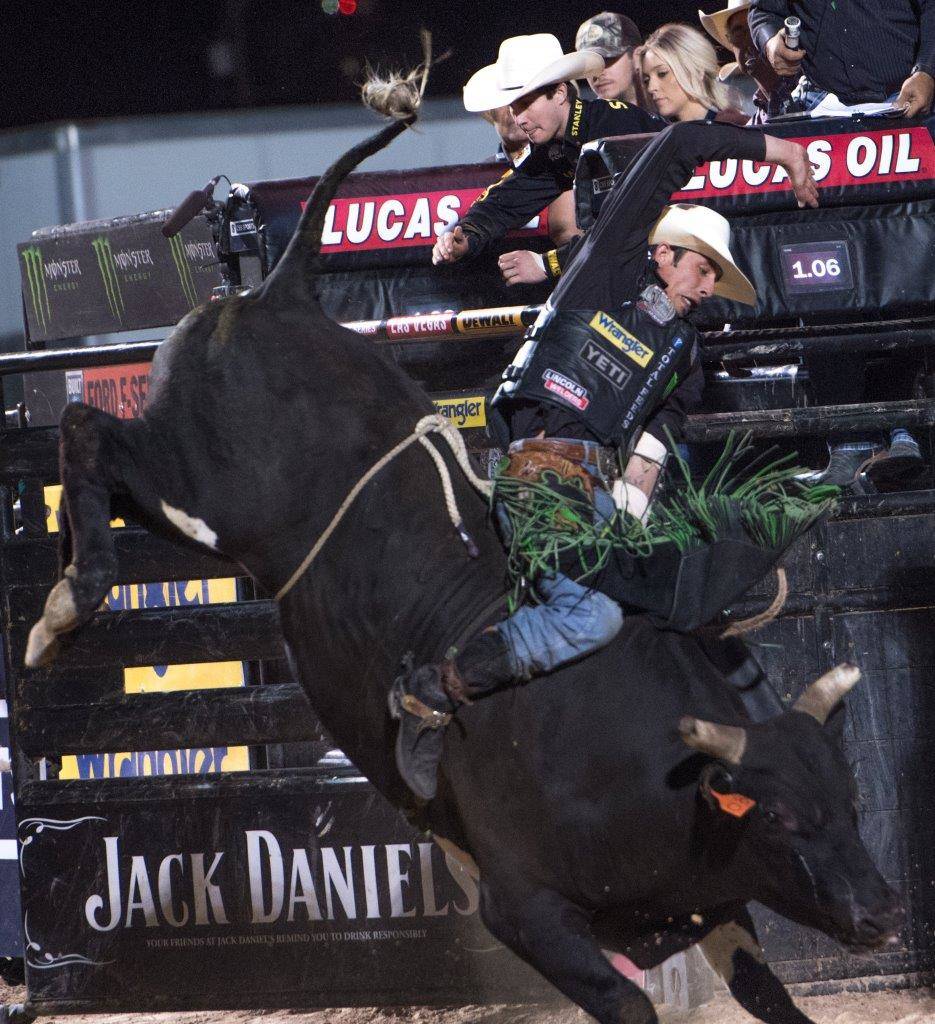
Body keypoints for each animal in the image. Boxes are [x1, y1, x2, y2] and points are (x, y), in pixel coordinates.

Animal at [24, 61, 902, 1024]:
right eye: (779, 817)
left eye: (848, 799)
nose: (883, 913)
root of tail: (277, 291)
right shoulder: (522, 910)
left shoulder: (709, 909)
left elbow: (768, 994)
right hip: (201, 487)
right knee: (86, 428)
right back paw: (67, 604)